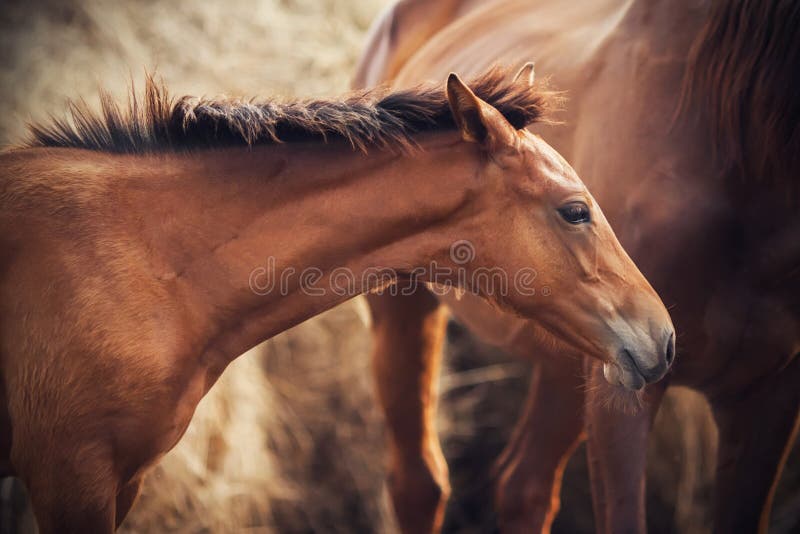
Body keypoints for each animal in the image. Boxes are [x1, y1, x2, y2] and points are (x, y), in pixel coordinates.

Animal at [354, 0, 800, 532]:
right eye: (575, 211)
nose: (664, 338)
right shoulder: (624, 397)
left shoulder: (770, 397)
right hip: (403, 312)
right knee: (419, 483)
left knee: (523, 486)